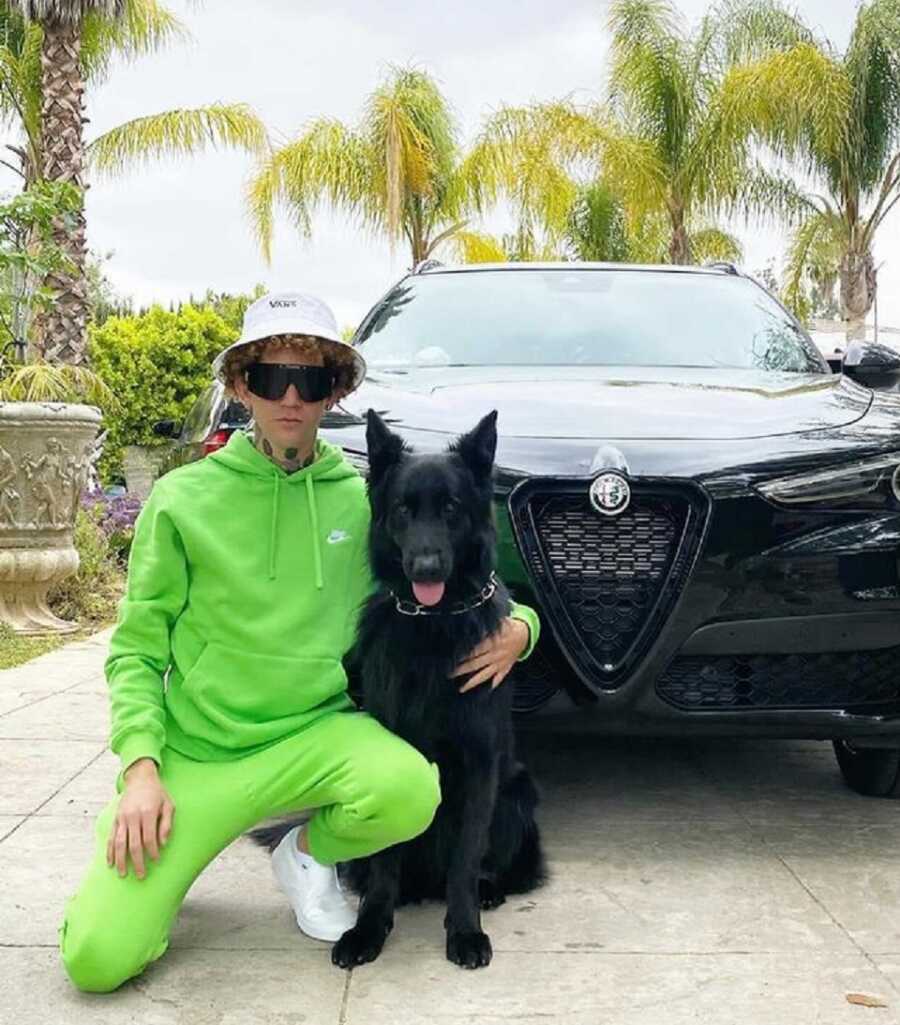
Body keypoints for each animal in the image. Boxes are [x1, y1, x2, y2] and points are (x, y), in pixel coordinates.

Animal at [247, 410, 545, 967]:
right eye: (404, 509)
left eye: (450, 508)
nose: (425, 567)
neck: (433, 623)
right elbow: (385, 858)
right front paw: (369, 928)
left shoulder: (479, 765)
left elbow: (465, 858)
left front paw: (464, 930)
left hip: (516, 791)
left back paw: (489, 888)